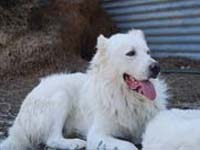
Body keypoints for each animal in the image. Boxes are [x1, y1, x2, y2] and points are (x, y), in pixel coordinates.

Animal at [0, 29, 169, 150]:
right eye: (131, 53)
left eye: (148, 52)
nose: (157, 67)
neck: (128, 98)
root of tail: (17, 125)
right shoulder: (97, 135)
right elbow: (129, 146)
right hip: (61, 97)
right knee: (52, 139)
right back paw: (74, 143)